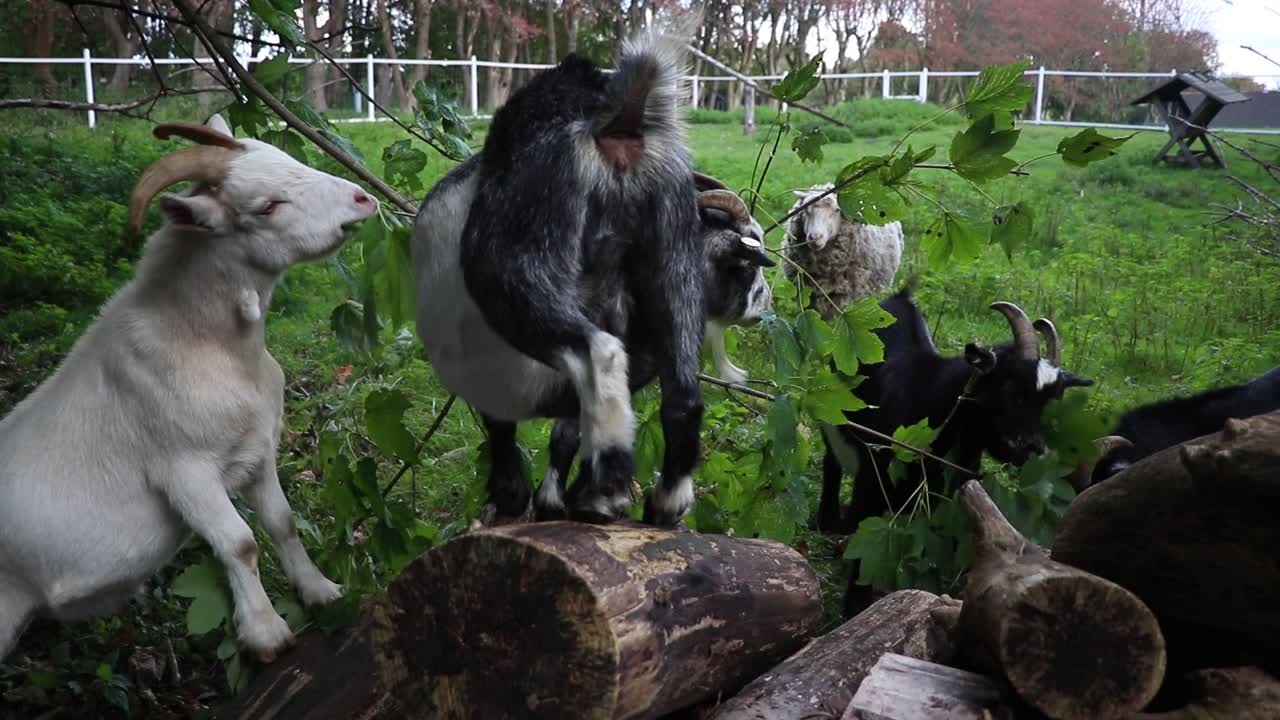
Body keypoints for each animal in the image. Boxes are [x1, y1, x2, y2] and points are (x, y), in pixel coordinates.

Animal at [0, 115, 374, 663]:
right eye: (267, 205)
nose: (362, 199)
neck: (216, 350)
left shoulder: (257, 452)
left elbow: (281, 522)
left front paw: (321, 590)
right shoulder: (184, 469)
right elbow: (240, 542)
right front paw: (266, 634)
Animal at [412, 16, 709, 526]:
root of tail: (615, 125)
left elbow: (507, 448)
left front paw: (510, 499)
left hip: (514, 261)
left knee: (597, 349)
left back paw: (608, 478)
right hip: (674, 242)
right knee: (680, 392)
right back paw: (661, 500)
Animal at [817, 287, 1092, 617]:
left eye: (1049, 402)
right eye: (1010, 388)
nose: (1031, 447)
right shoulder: (873, 476)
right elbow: (863, 544)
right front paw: (854, 607)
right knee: (830, 463)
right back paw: (827, 521)